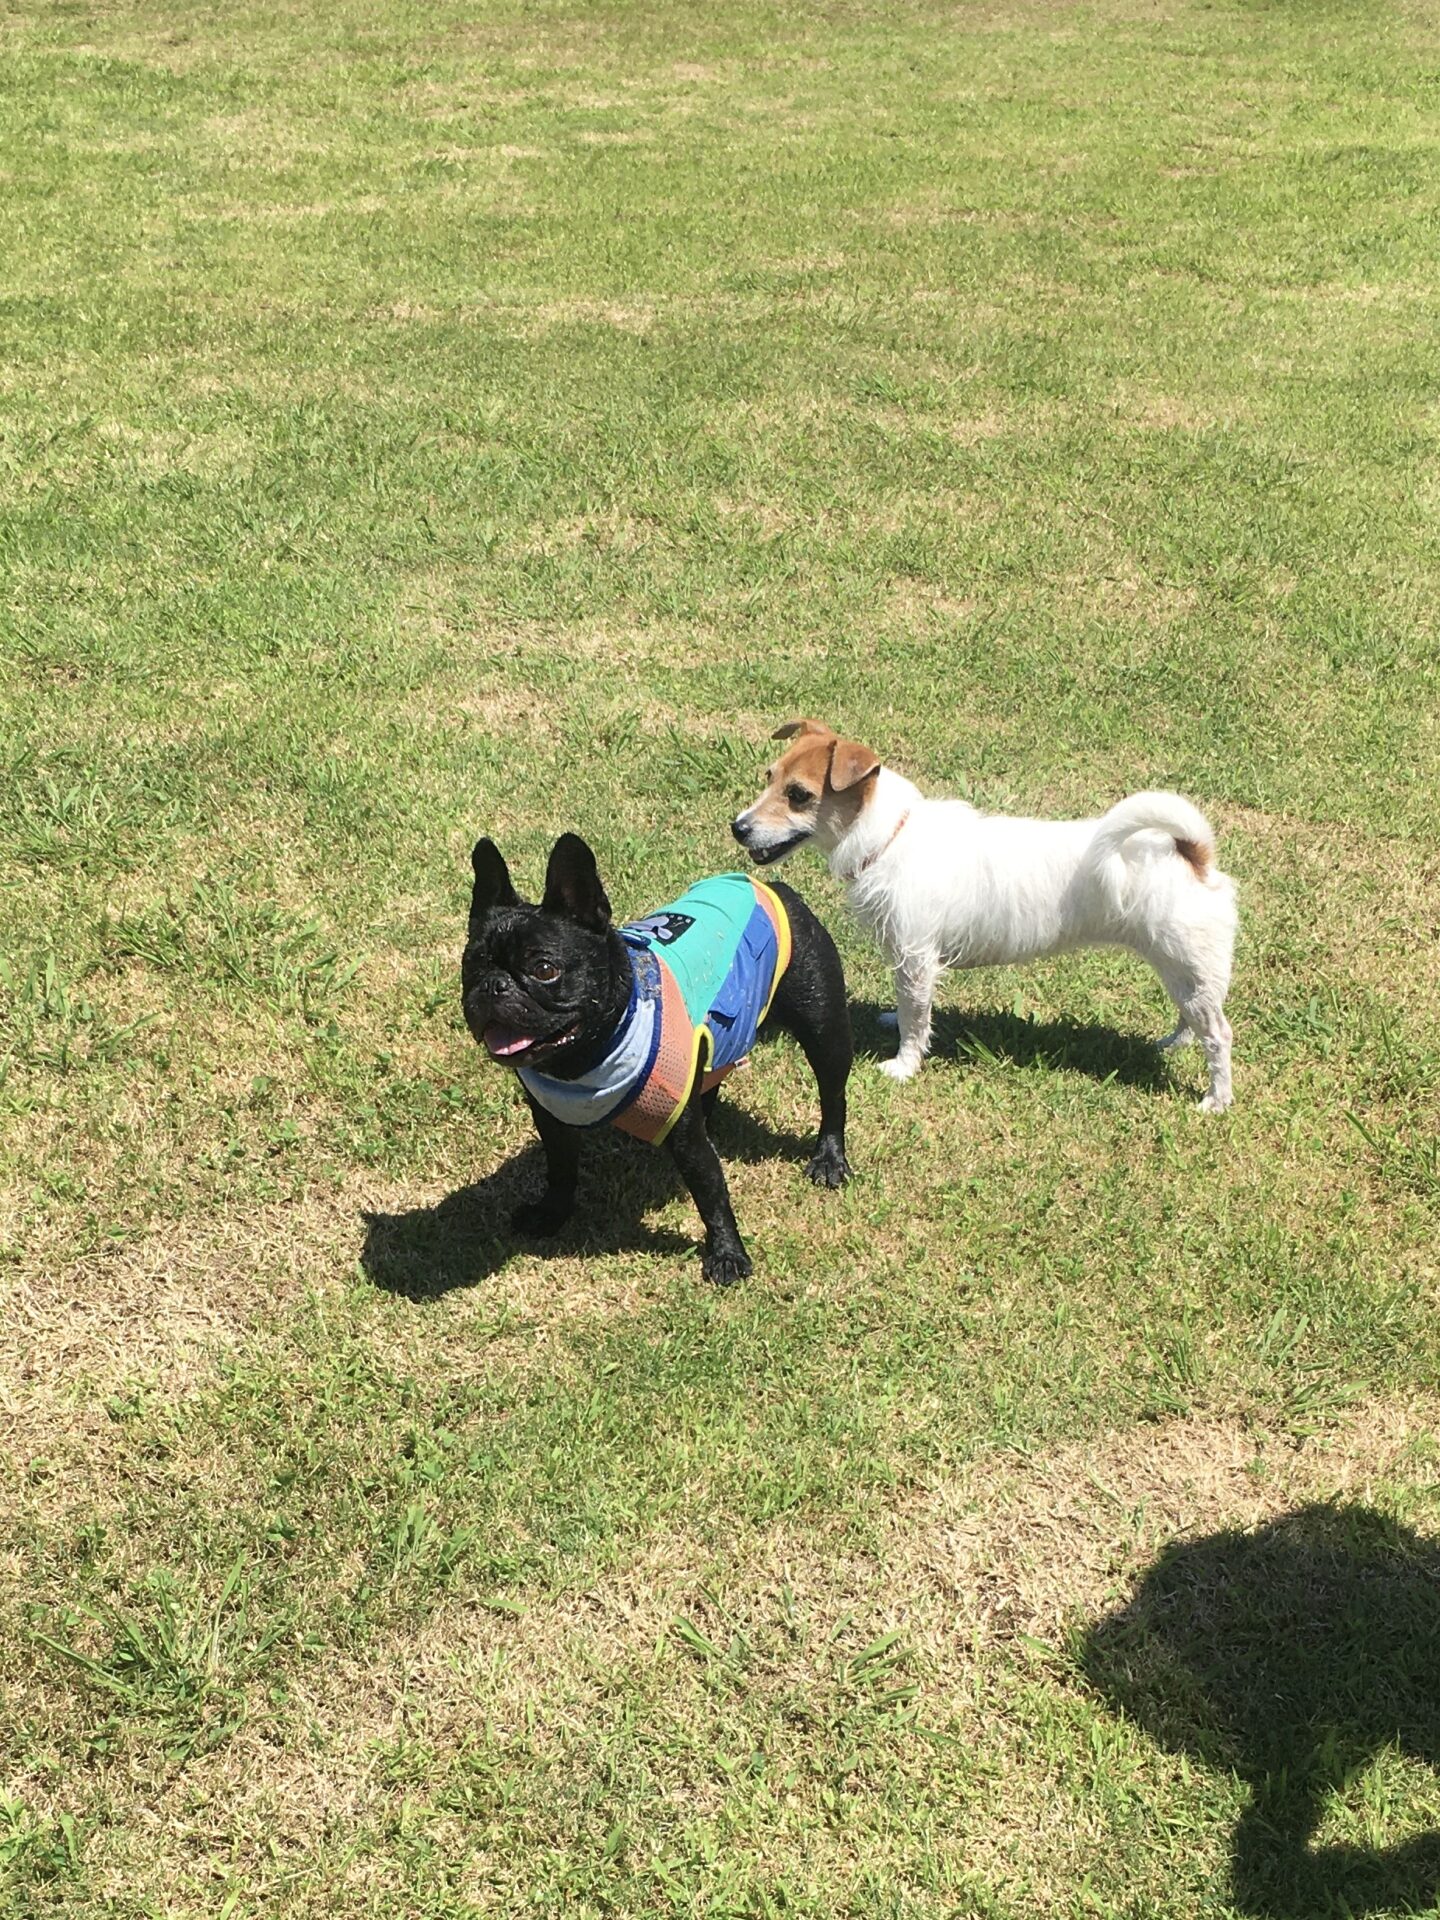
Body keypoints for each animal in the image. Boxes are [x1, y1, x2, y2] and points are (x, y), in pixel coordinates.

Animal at [461, 831, 853, 1284]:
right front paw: (552, 1213)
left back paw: (829, 1158)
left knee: (832, 1095)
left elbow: (710, 1191)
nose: (494, 985)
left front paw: (727, 1254)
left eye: (544, 970)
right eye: (471, 964)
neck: (588, 1055)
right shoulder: (552, 1122)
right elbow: (560, 1170)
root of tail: (770, 886)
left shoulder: (685, 1137)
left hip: (823, 1027)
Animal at [731, 720, 1237, 1110]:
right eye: (768, 776)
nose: (738, 827)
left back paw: (1216, 1099)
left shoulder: (916, 958)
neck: (889, 836)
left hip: (1187, 966)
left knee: (1218, 1034)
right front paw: (894, 1021)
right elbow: (907, 1005)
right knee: (1191, 1016)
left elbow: (916, 1017)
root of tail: (1192, 854)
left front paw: (904, 1064)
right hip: (1181, 969)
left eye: (799, 795)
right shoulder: (906, 958)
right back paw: (1172, 1044)